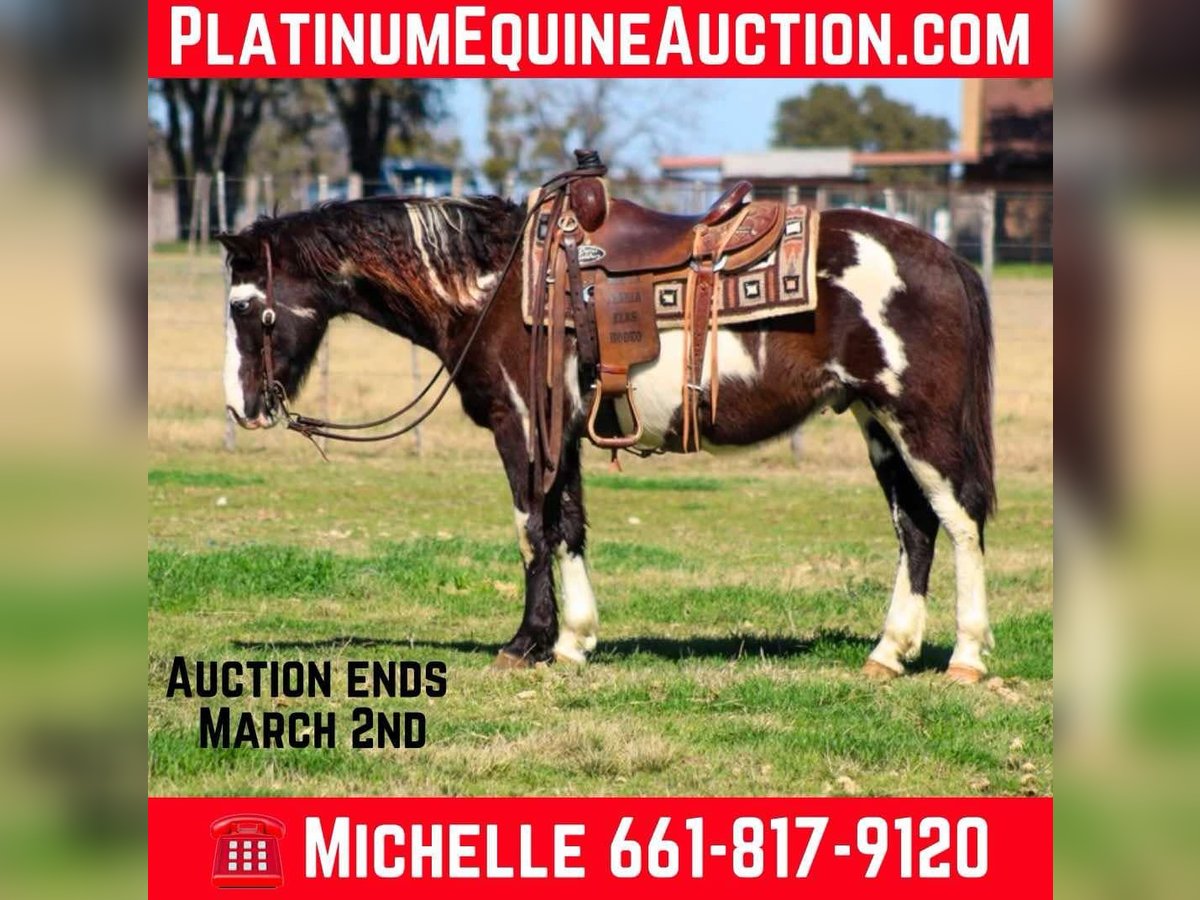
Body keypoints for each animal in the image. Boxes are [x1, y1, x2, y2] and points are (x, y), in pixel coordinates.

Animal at [218, 187, 995, 684]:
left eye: (244, 307)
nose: (239, 407)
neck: (498, 286)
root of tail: (944, 256)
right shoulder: (561, 433)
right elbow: (568, 525)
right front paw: (573, 641)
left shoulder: (521, 424)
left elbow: (532, 527)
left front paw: (527, 643)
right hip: (876, 424)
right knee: (915, 528)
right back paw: (888, 653)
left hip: (918, 422)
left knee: (959, 523)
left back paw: (965, 657)